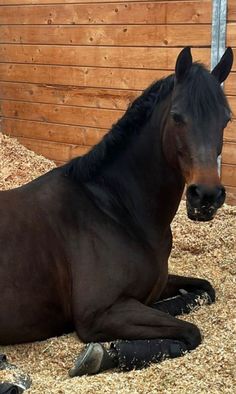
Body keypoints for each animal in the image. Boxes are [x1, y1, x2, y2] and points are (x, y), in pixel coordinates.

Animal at [0, 47, 232, 390]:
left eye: (226, 119)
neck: (116, 211)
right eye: (177, 116)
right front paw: (106, 355)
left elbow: (201, 292)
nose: (206, 196)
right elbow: (190, 332)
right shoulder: (98, 315)